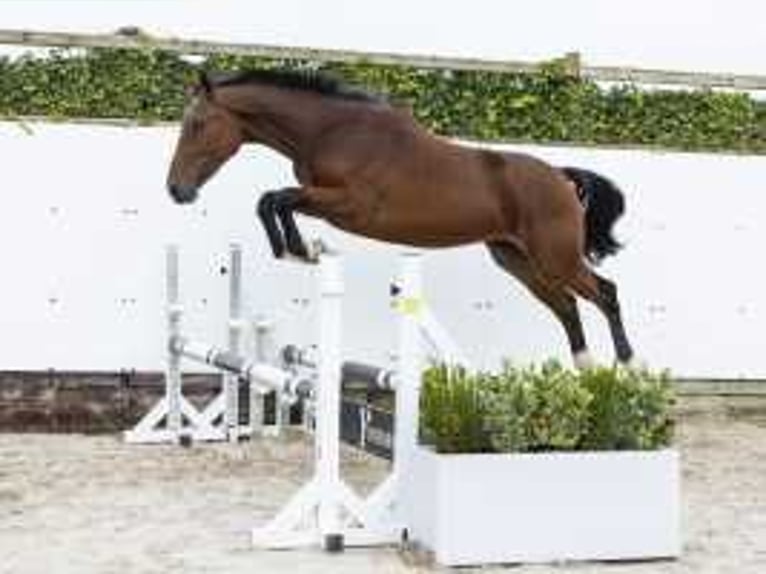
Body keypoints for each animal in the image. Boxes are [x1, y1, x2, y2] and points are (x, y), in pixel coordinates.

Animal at [166, 70, 636, 366]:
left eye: (198, 124)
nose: (176, 190)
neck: (332, 130)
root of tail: (560, 178)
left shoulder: (349, 205)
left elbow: (276, 199)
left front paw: (300, 250)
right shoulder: (328, 203)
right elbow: (271, 201)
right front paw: (302, 251)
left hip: (556, 258)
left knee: (606, 294)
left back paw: (627, 365)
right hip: (515, 259)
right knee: (567, 305)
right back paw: (585, 367)